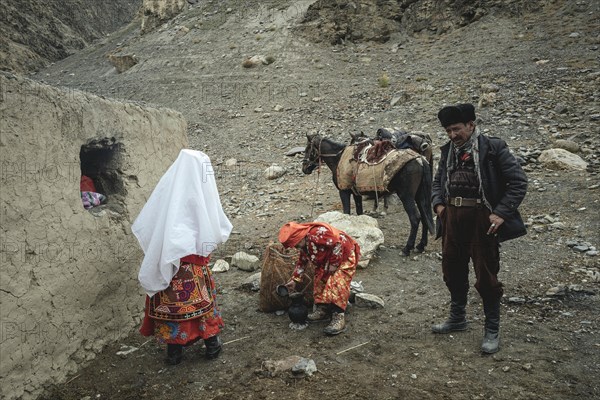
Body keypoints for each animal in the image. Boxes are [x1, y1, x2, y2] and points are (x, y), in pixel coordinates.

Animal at [302, 133, 434, 255]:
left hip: (406, 196)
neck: (338, 158)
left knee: (415, 218)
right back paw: (420, 246)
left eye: (308, 148)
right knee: (425, 216)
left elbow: (346, 213)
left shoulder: (344, 191)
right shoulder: (356, 194)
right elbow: (359, 213)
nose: (304, 168)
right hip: (420, 196)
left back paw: (407, 248)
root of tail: (420, 160)